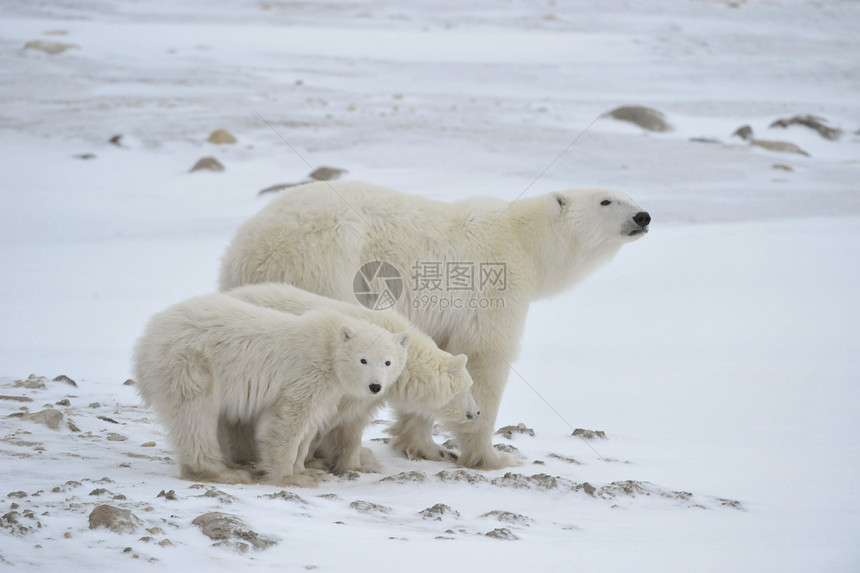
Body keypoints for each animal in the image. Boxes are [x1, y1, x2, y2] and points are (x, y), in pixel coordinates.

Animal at [134, 292, 410, 484]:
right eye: (363, 359)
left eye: (388, 362)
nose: (375, 386)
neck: (328, 347)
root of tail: (148, 336)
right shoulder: (305, 374)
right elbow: (287, 421)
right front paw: (290, 476)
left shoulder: (328, 390)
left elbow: (309, 425)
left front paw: (306, 470)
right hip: (192, 363)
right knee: (195, 417)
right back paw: (223, 472)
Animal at [228, 282, 480, 474]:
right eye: (469, 388)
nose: (476, 412)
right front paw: (311, 461)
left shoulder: (367, 392)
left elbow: (351, 424)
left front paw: (355, 465)